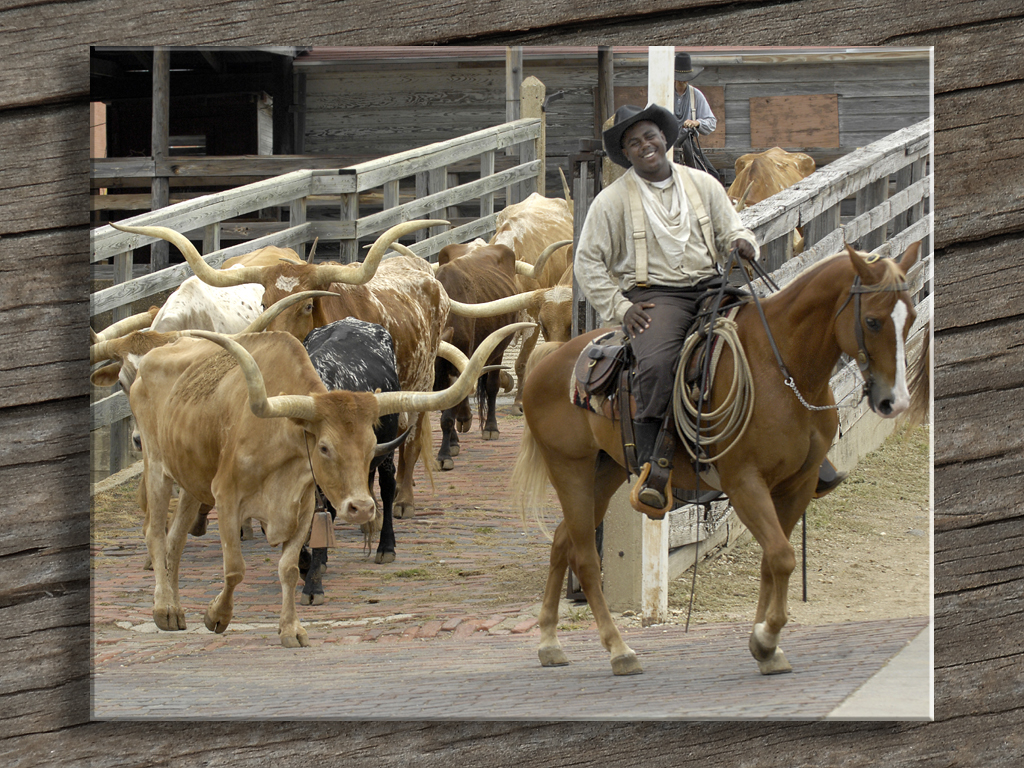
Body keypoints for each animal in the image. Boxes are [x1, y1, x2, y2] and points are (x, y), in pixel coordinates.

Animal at [512, 243, 929, 675]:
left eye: (911, 317)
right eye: (873, 320)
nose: (894, 400)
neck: (780, 367)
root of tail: (545, 367)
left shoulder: (796, 484)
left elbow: (773, 559)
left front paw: (765, 645)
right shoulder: (745, 483)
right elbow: (782, 557)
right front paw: (766, 638)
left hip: (605, 471)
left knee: (562, 541)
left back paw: (549, 642)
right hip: (569, 470)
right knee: (585, 558)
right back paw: (619, 650)